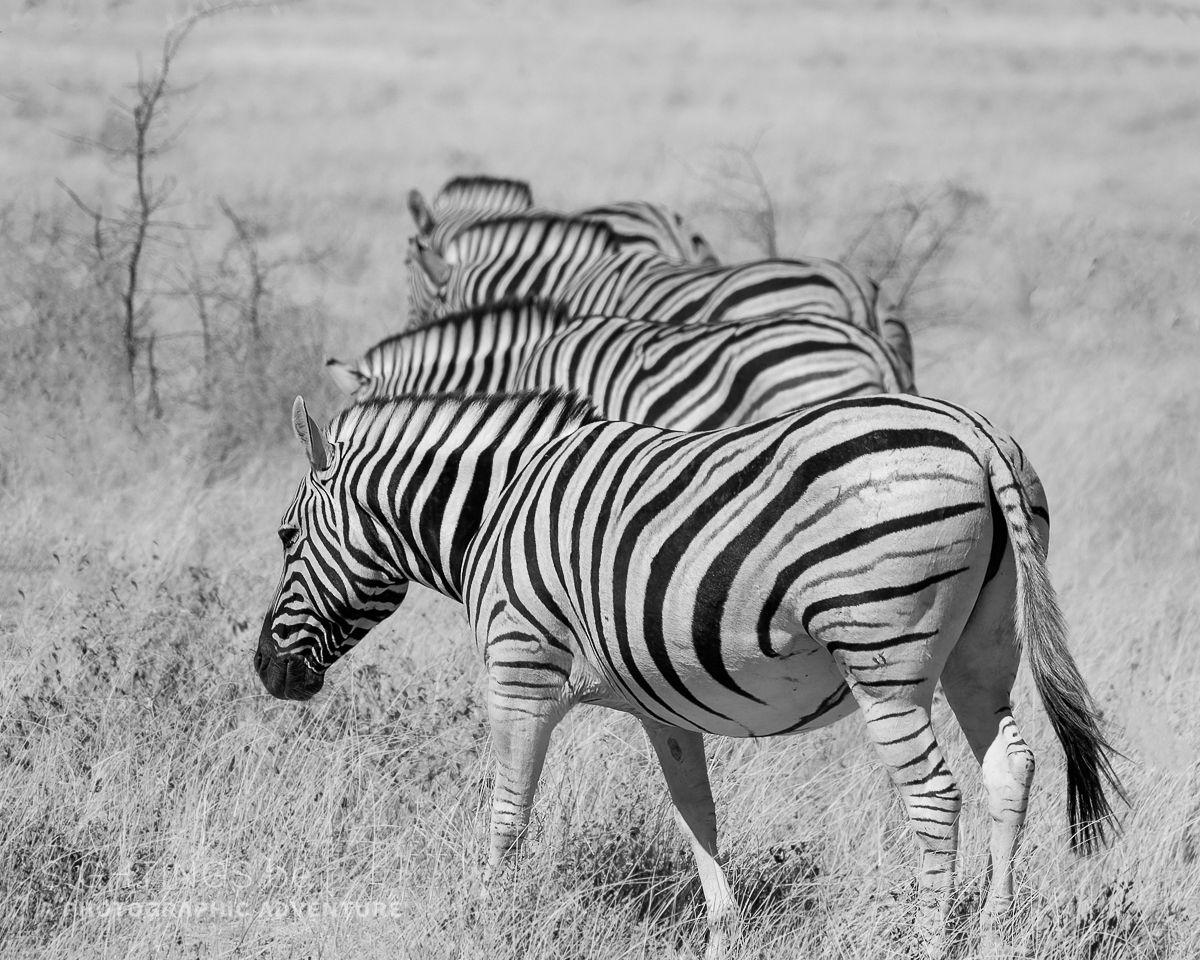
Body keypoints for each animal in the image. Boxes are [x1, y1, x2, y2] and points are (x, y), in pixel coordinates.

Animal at [256, 388, 1123, 958]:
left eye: (285, 535)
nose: (267, 671)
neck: (497, 511)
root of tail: (971, 431)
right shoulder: (660, 704)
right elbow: (694, 812)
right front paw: (723, 935)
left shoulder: (520, 664)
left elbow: (508, 813)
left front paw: (489, 924)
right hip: (983, 650)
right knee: (1009, 767)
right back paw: (996, 937)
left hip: (884, 657)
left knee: (936, 795)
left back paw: (926, 941)